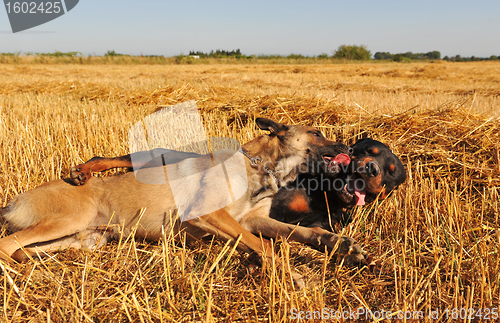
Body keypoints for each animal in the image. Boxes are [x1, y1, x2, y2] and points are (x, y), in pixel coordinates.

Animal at [0, 118, 368, 286]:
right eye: (316, 133)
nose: (349, 149)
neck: (258, 167)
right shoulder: (211, 215)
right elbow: (264, 245)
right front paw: (291, 274)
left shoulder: (253, 219)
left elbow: (298, 233)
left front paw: (341, 246)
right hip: (69, 220)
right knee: (7, 245)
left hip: (84, 238)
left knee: (23, 249)